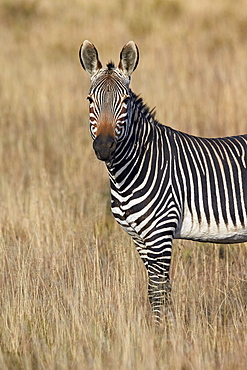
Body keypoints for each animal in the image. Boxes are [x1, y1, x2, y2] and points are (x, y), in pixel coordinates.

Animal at [78, 41, 247, 324]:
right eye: (90, 100)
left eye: (125, 101)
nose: (104, 147)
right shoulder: (140, 238)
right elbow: (158, 290)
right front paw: (165, 329)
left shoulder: (160, 234)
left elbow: (158, 292)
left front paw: (160, 333)